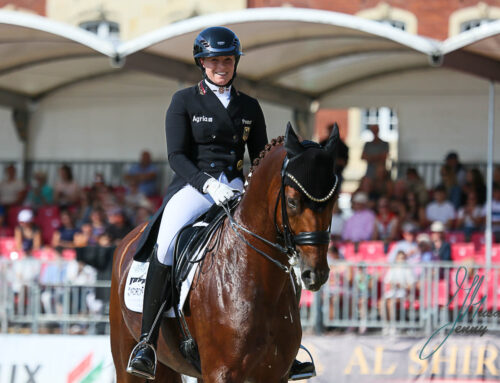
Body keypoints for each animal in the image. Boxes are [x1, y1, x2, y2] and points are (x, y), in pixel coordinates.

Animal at [111, 124, 338, 382]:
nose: (315, 273)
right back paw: (143, 354)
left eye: (334, 200)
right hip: (126, 358)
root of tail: (129, 238)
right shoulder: (221, 372)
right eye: (292, 201)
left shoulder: (274, 374)